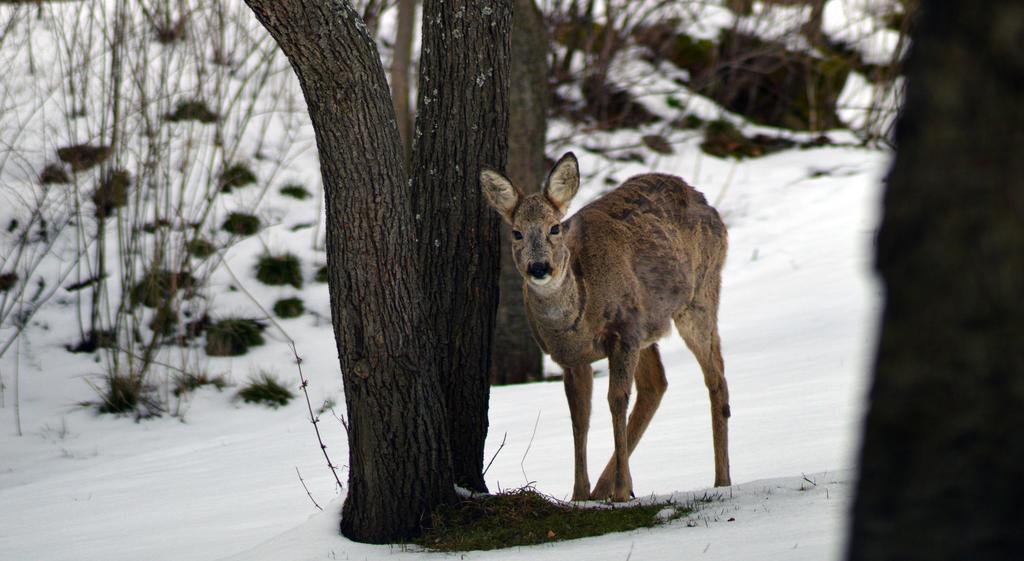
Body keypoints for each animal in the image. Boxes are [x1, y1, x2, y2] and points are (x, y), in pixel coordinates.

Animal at [481, 152, 733, 499]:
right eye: (516, 232)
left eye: (555, 228)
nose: (539, 267)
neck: (578, 321)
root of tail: (706, 202)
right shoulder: (571, 357)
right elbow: (579, 415)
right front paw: (579, 494)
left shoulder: (623, 333)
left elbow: (616, 401)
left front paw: (621, 491)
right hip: (649, 326)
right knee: (657, 384)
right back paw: (603, 486)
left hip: (699, 295)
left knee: (715, 376)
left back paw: (721, 480)